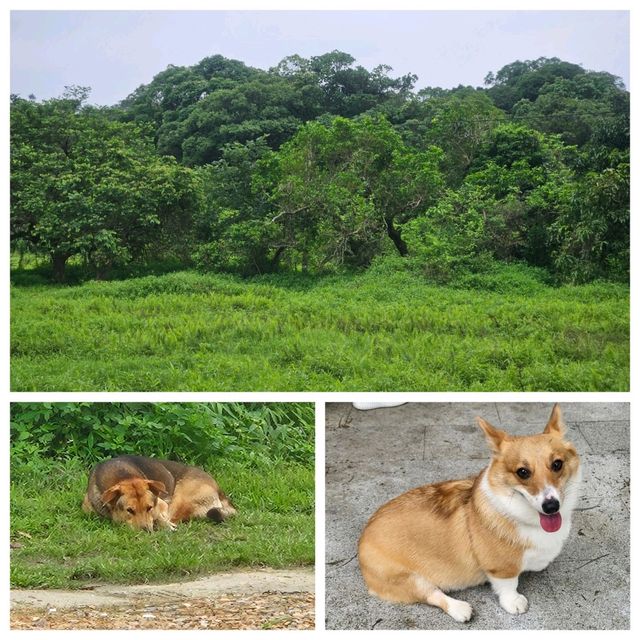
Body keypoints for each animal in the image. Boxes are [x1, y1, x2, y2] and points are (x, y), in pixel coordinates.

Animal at [82, 452, 236, 532]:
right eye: (129, 510)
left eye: (149, 507)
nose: (146, 530)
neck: (122, 477)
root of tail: (220, 491)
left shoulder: (161, 504)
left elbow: (160, 516)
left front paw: (164, 524)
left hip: (181, 498)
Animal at [360, 408, 580, 624]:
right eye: (523, 472)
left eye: (557, 464)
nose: (551, 506)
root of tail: (363, 536)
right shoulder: (501, 568)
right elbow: (508, 585)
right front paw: (514, 602)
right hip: (406, 579)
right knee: (432, 594)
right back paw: (460, 609)